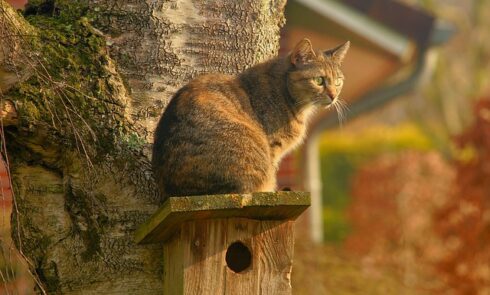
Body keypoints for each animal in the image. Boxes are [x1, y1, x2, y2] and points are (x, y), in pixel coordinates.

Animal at [152, 37, 348, 199]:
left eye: (338, 81)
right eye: (319, 80)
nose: (333, 96)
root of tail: (181, 192)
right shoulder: (273, 148)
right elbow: (273, 174)